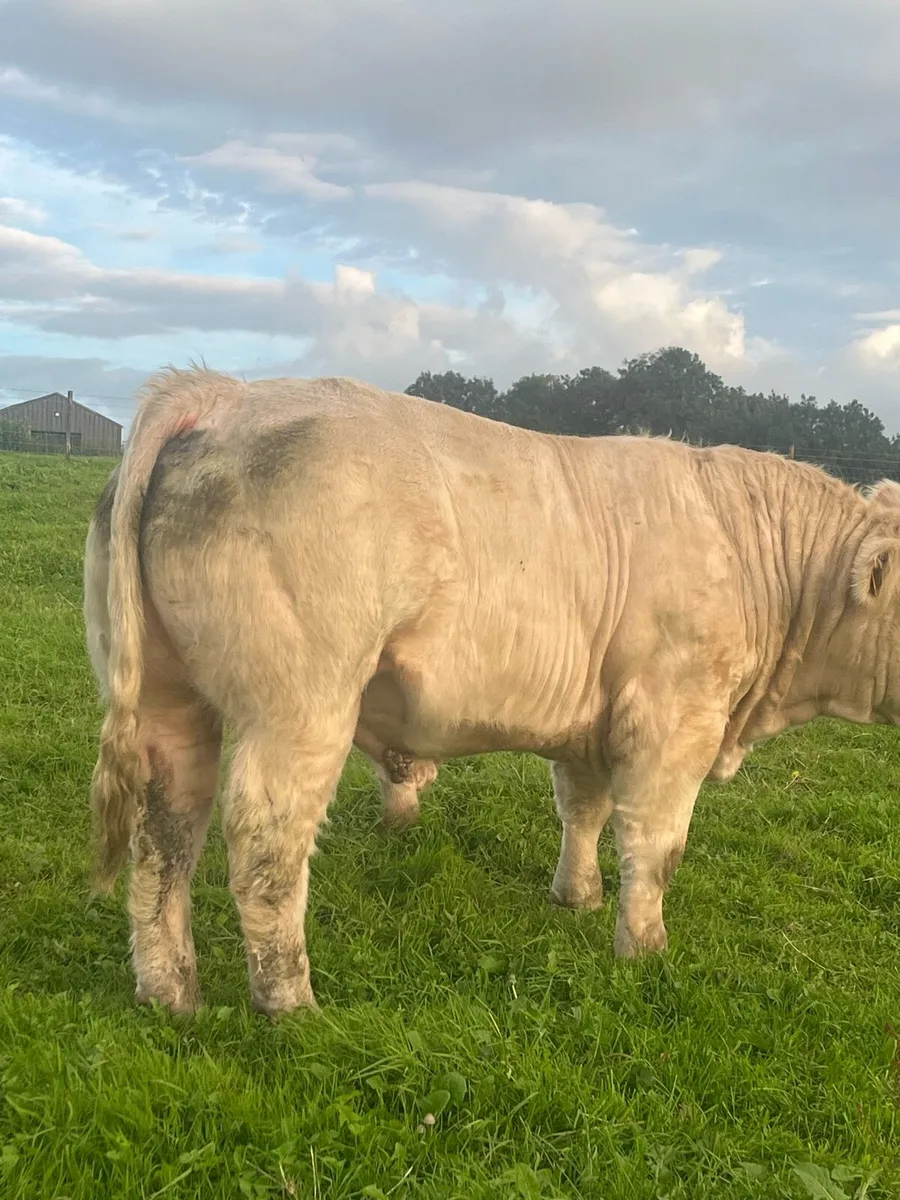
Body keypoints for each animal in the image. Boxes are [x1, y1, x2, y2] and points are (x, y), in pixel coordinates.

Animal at [84, 365, 900, 1017]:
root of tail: (220, 393)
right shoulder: (675, 719)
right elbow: (656, 844)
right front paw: (645, 947)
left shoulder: (592, 718)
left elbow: (583, 809)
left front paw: (577, 897)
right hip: (300, 705)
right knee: (265, 841)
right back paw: (291, 1003)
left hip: (169, 699)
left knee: (164, 835)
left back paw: (171, 995)